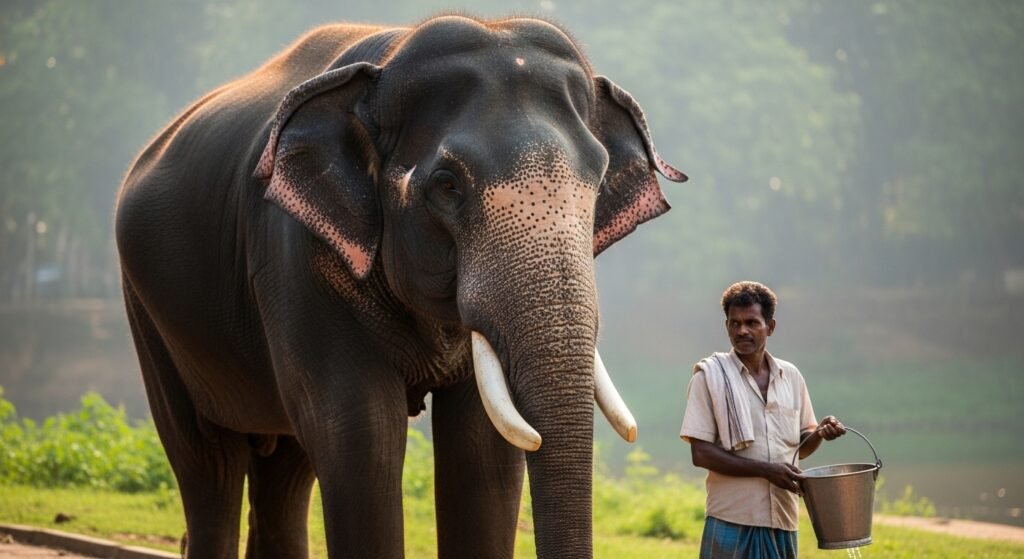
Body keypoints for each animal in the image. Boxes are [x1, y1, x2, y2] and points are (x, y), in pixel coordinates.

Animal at [114, 15, 685, 559]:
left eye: (599, 179)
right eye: (447, 186)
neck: (387, 61)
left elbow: (483, 449)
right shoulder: (293, 258)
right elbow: (361, 434)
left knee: (286, 469)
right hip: (148, 313)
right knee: (208, 460)